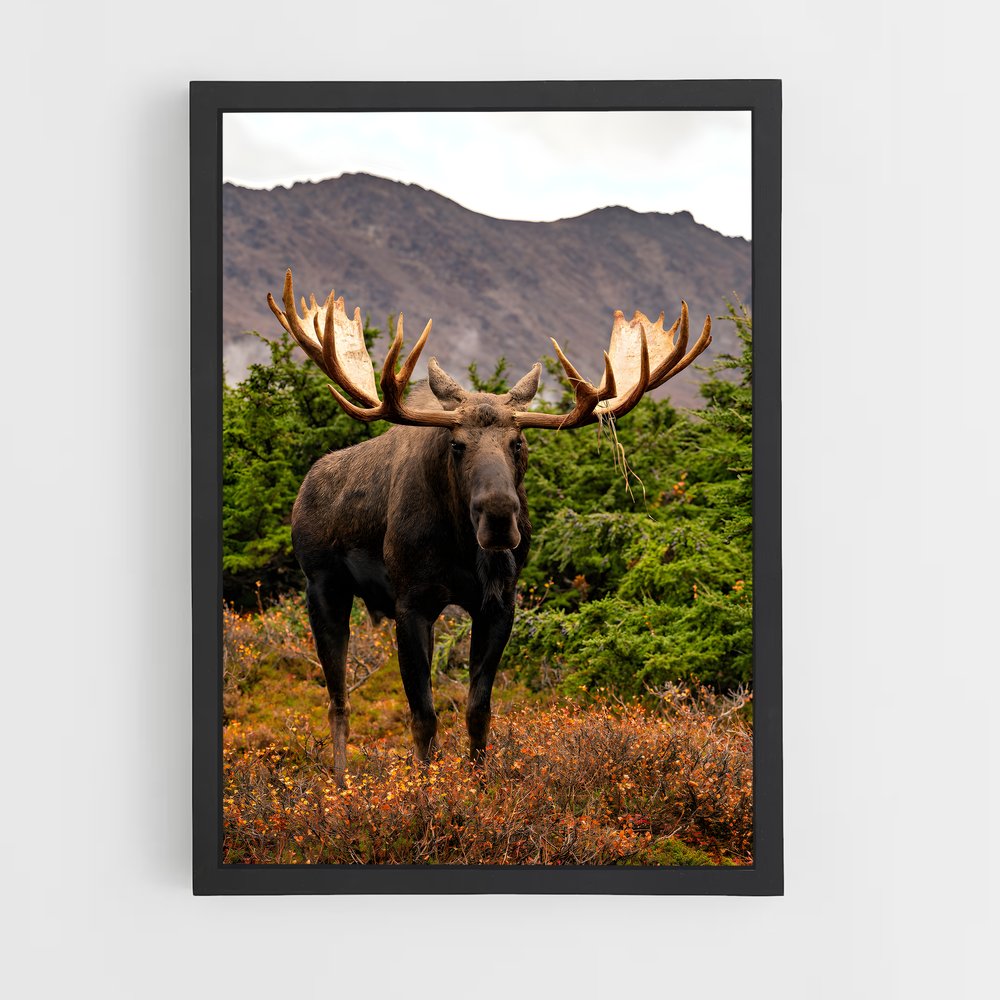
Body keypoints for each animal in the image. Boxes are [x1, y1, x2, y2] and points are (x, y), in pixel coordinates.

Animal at [266, 269, 711, 784]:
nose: (500, 516)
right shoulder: (410, 602)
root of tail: (304, 489)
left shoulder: (498, 603)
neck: (462, 547)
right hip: (322, 587)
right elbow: (423, 716)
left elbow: (478, 710)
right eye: (456, 443)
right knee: (338, 700)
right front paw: (425, 789)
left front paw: (479, 786)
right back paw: (339, 785)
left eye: (518, 442)